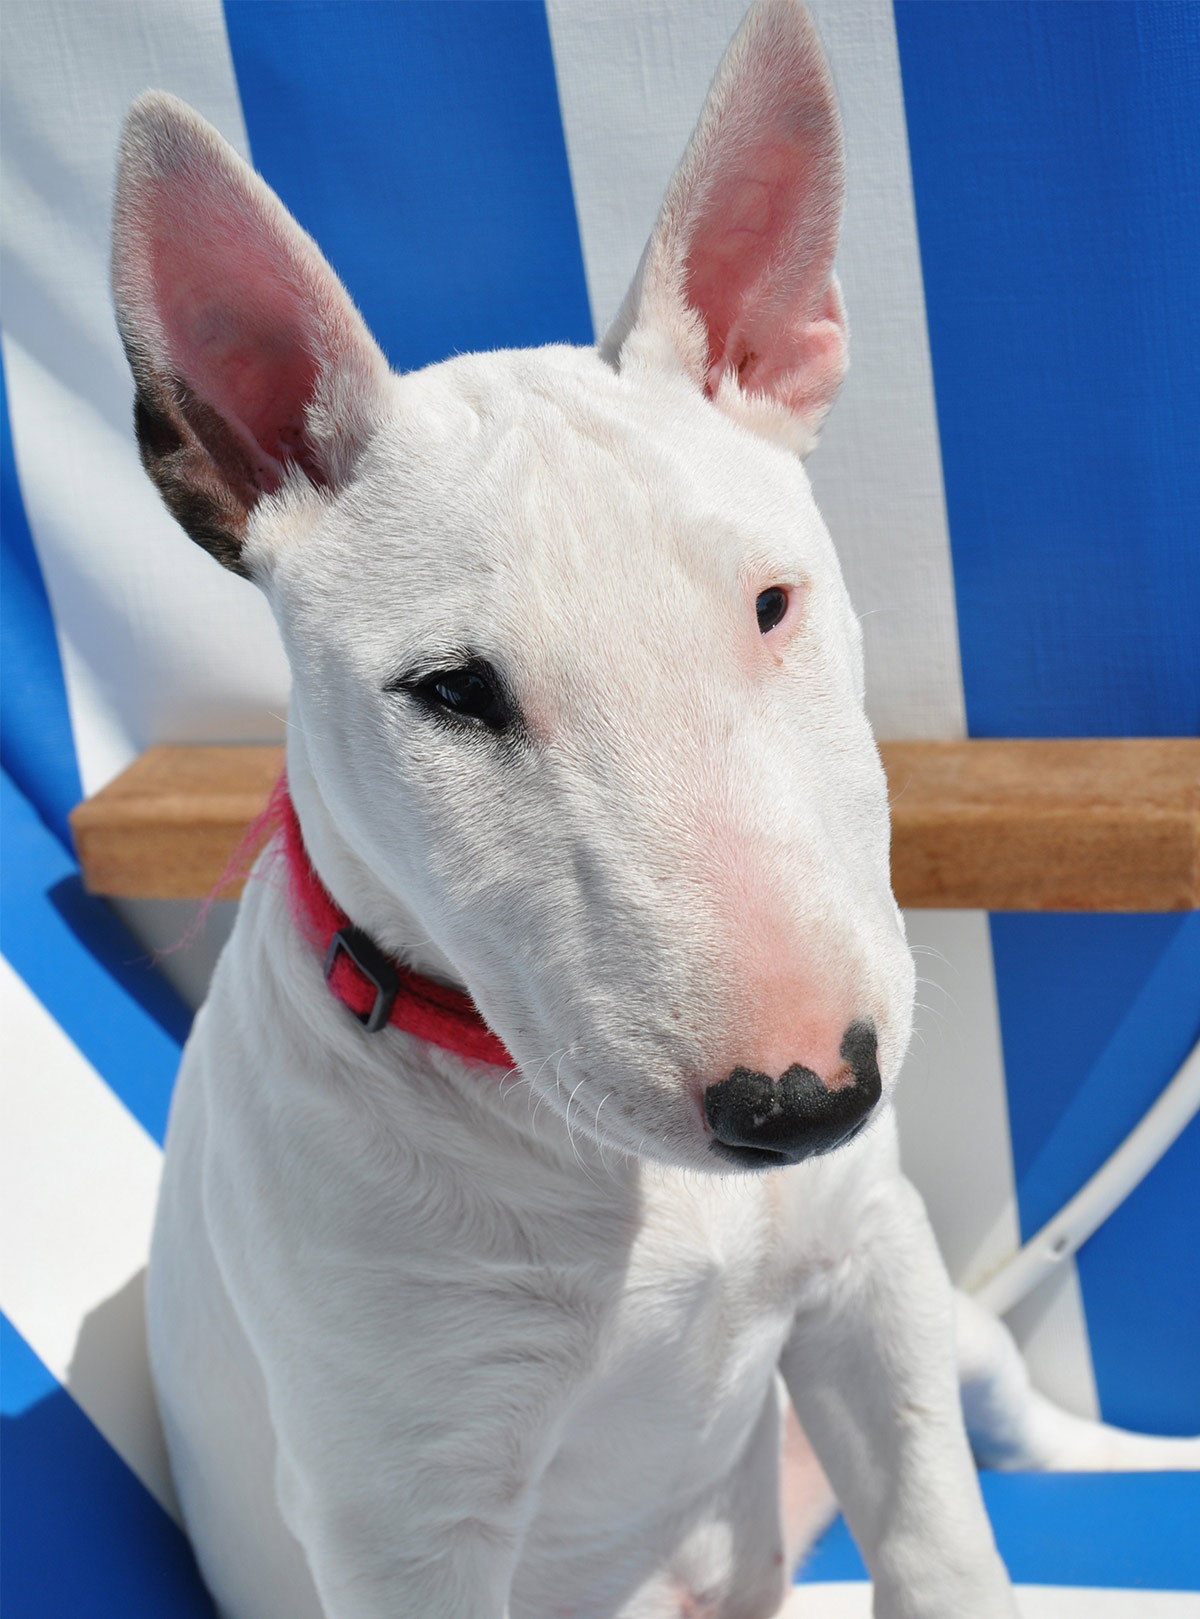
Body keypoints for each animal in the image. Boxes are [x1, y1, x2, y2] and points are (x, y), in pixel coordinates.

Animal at [110, 3, 1191, 1619]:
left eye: (771, 604)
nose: (806, 1098)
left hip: (948, 1310)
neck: (616, 1176)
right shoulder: (402, 1523)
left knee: (1020, 1414)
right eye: (452, 691)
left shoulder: (870, 1273)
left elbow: (945, 1541)